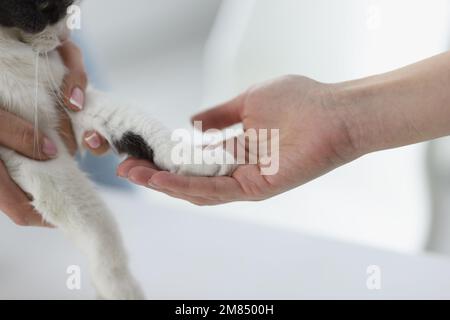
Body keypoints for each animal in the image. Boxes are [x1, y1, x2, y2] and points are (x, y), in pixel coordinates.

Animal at [0, 0, 236, 300]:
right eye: (44, 8)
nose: (65, 38)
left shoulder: (65, 93)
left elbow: (133, 120)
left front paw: (198, 157)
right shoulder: (32, 150)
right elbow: (99, 223)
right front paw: (120, 288)